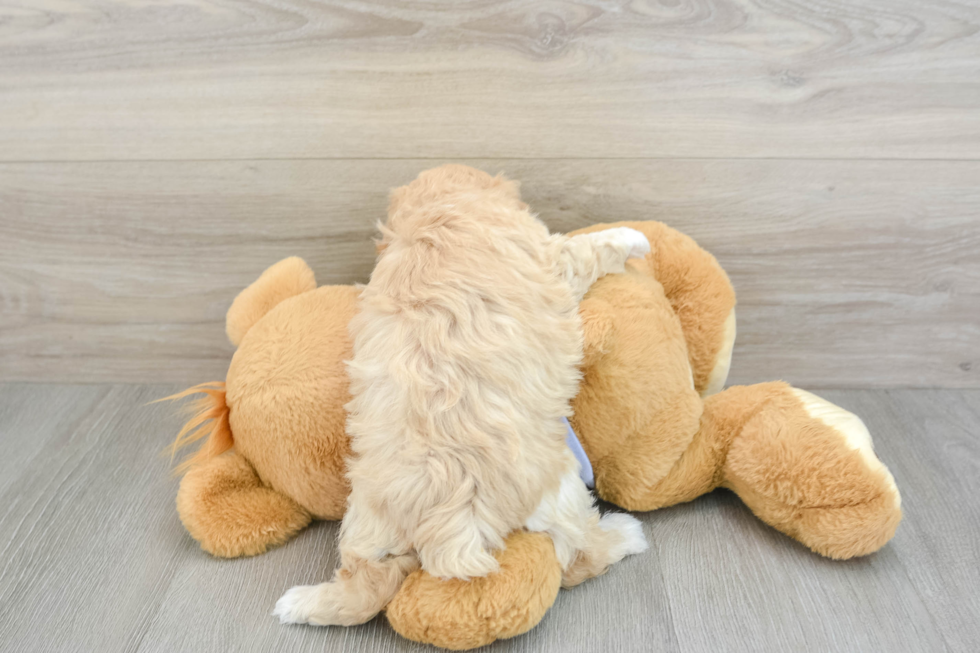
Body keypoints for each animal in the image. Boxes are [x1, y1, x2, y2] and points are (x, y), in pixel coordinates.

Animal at [272, 166, 648, 624]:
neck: (440, 209)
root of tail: (450, 523)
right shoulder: (553, 260)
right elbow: (594, 246)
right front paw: (635, 237)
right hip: (557, 488)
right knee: (579, 555)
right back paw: (626, 535)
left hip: (368, 521)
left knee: (365, 588)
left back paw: (301, 603)